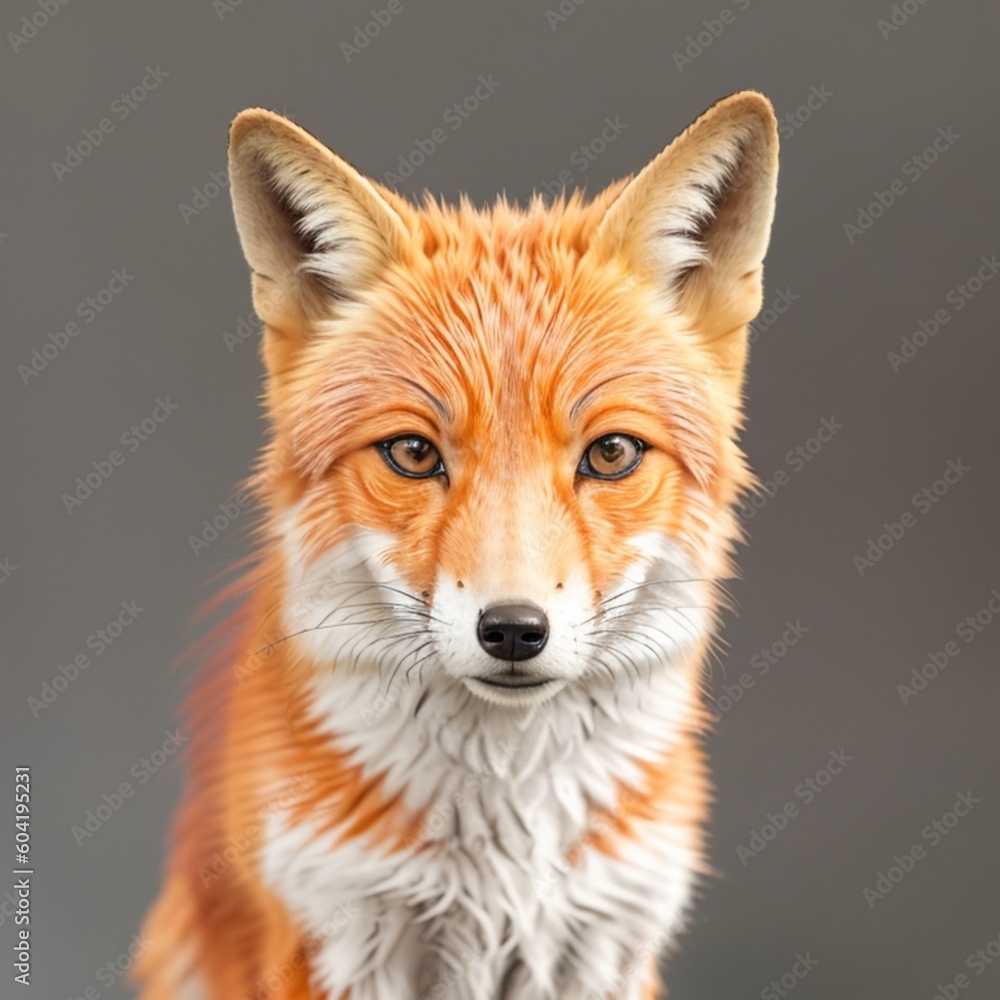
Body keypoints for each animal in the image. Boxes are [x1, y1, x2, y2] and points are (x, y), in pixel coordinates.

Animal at [135, 91, 779, 1000]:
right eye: (413, 453)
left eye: (612, 454)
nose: (512, 630)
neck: (510, 841)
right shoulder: (334, 938)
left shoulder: (608, 942)